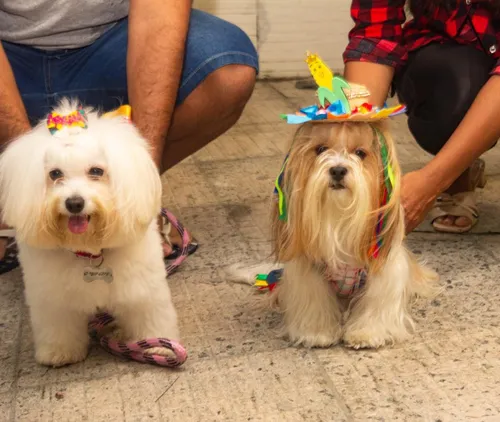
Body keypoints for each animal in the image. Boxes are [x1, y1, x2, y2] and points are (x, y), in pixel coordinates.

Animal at [0, 101, 179, 366]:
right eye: (55, 174)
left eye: (96, 171)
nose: (74, 203)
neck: (89, 251)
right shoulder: (53, 299)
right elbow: (58, 326)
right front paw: (59, 352)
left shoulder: (142, 289)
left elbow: (149, 316)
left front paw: (158, 345)